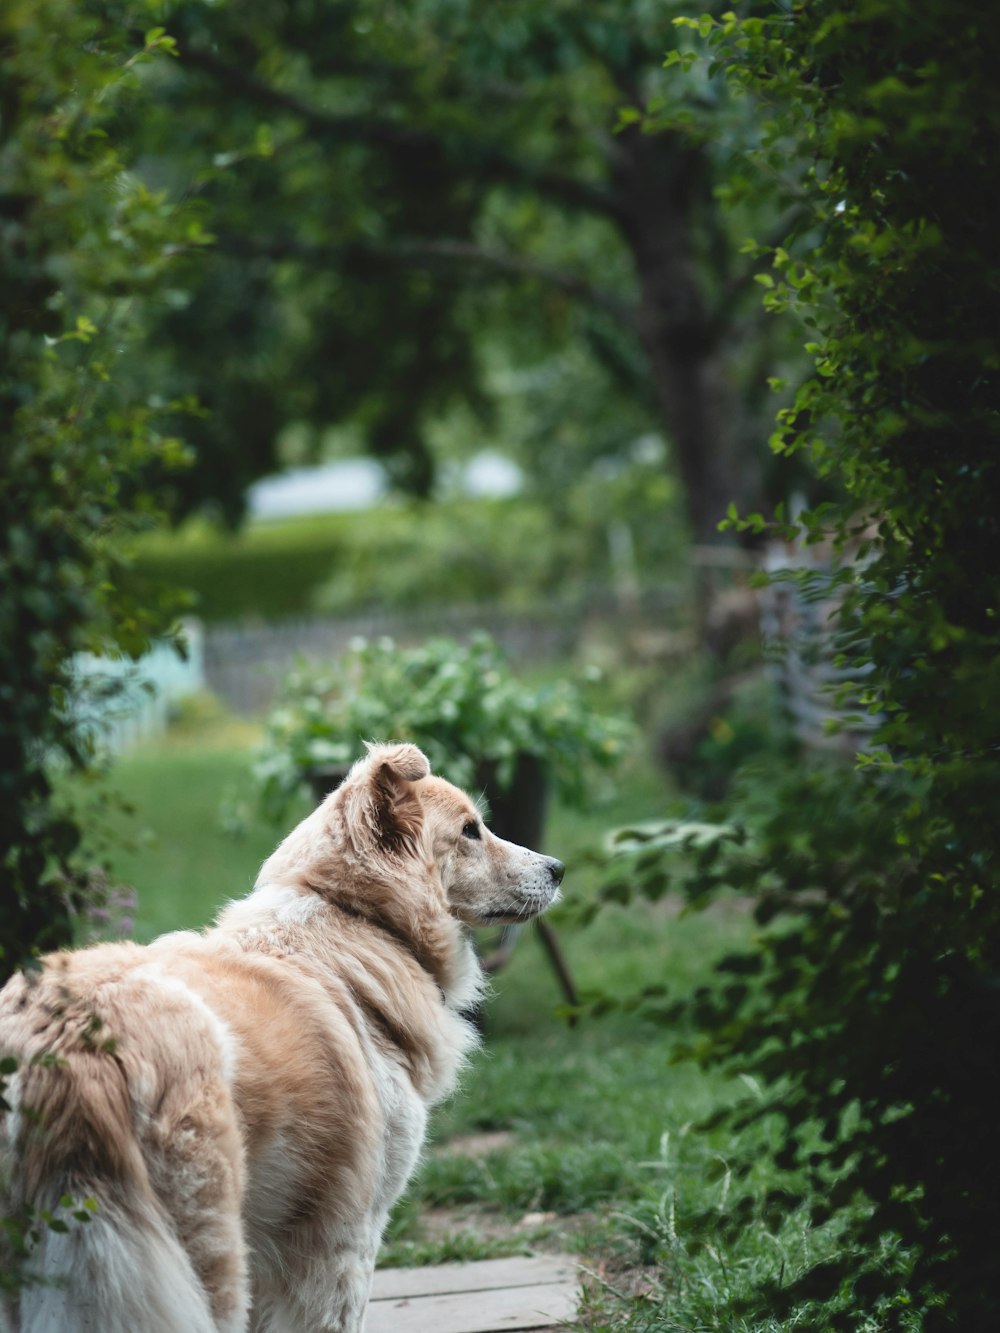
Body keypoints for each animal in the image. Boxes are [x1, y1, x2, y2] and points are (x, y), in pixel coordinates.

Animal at [0, 746, 565, 1327]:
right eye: (471, 830)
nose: (559, 869)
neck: (359, 920)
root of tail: (69, 1040)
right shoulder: (345, 1241)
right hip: (208, 1257)